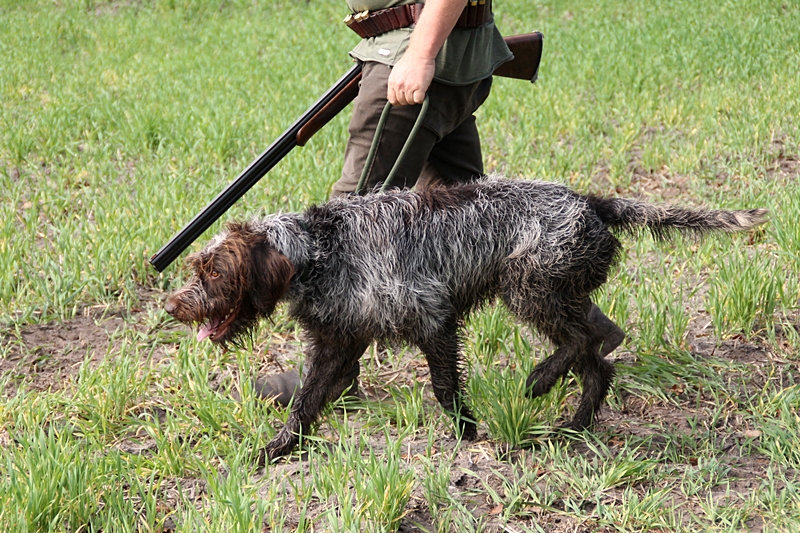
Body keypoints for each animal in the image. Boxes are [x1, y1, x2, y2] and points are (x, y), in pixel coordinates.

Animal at [164, 177, 768, 460]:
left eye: (213, 272)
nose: (173, 305)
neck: (322, 250)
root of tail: (589, 201)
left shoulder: (433, 316)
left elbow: (443, 385)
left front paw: (466, 431)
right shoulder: (338, 341)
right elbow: (306, 405)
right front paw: (274, 451)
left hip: (528, 284)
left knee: (581, 343)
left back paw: (541, 380)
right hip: (557, 290)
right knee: (601, 355)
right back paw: (573, 425)